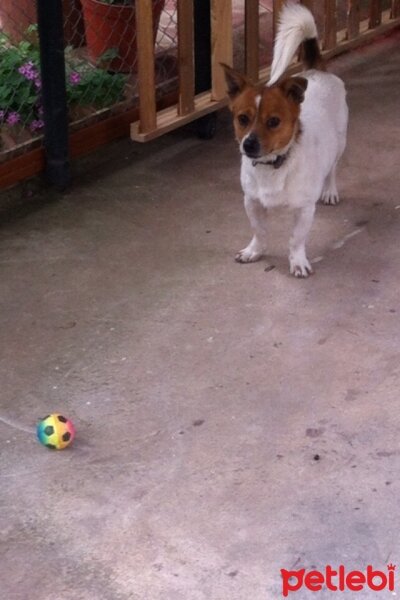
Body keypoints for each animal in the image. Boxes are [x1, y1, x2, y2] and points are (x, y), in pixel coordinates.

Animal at [223, 2, 348, 276]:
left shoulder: (303, 211)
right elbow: (259, 231)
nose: (248, 144)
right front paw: (254, 251)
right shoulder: (252, 202)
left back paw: (329, 191)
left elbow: (295, 240)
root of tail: (316, 70)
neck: (273, 165)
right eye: (242, 118)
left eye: (273, 122)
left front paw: (298, 261)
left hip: (340, 143)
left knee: (333, 169)